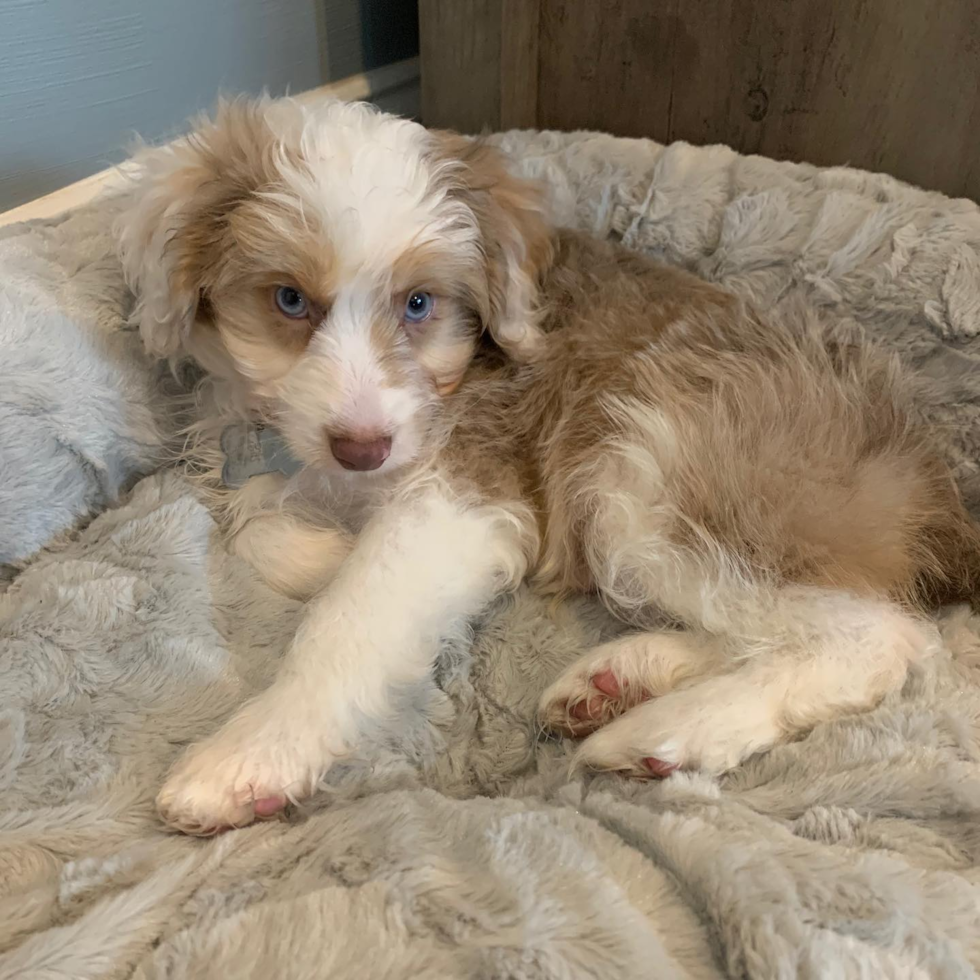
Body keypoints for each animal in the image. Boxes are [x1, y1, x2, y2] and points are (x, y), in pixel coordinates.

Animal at [118, 97, 980, 836]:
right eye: (289, 300)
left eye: (420, 305)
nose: (363, 448)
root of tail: (938, 482)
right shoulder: (247, 444)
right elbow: (253, 516)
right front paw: (319, 548)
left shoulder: (465, 492)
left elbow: (351, 614)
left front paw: (253, 752)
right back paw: (627, 676)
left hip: (654, 467)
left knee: (881, 635)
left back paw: (670, 727)